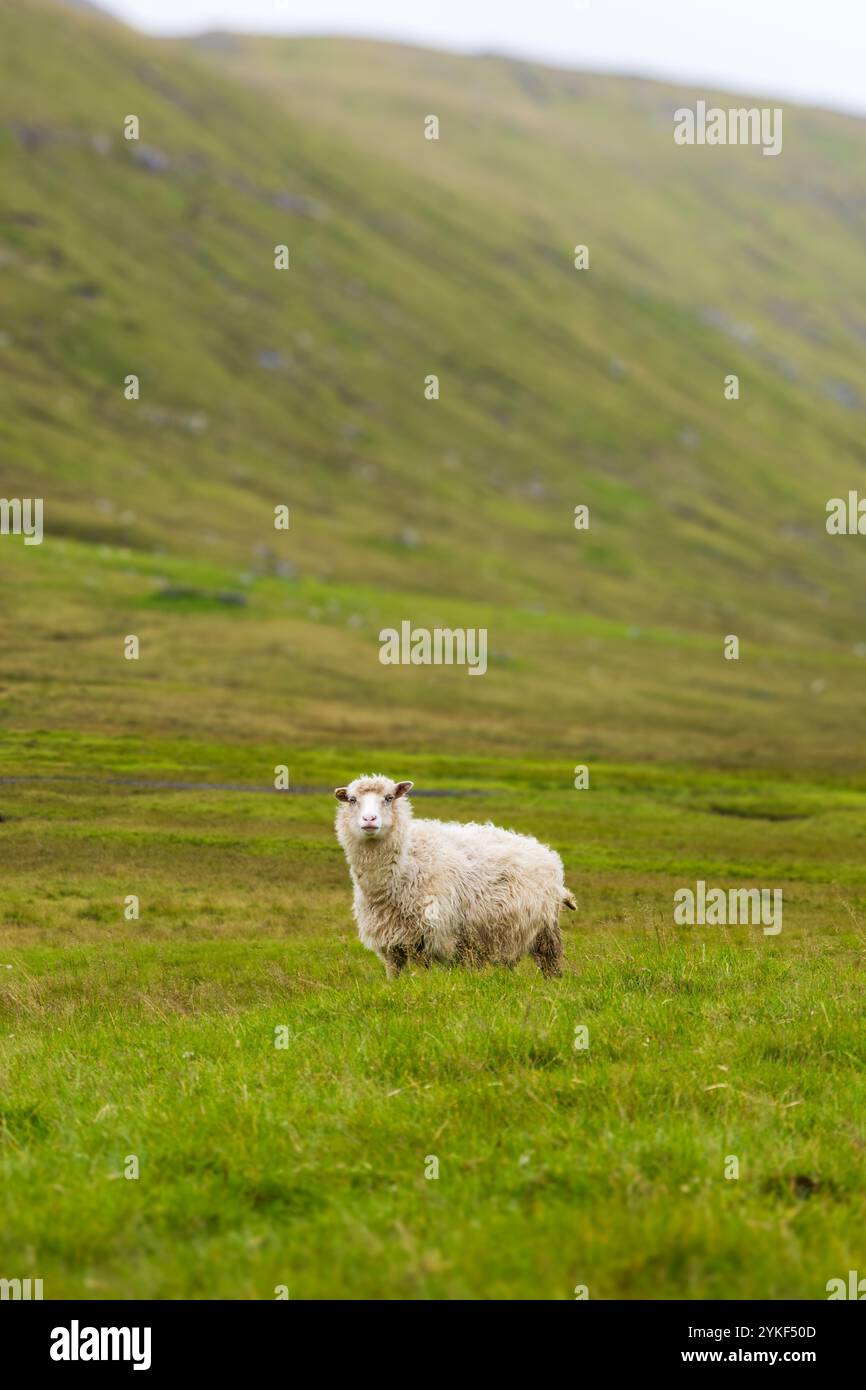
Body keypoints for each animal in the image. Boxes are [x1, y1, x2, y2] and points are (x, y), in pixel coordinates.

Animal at [335, 772, 578, 978]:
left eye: (389, 797)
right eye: (352, 800)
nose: (369, 819)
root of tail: (545, 850)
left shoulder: (438, 939)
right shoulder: (391, 944)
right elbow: (394, 976)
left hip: (545, 931)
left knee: (550, 964)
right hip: (506, 933)